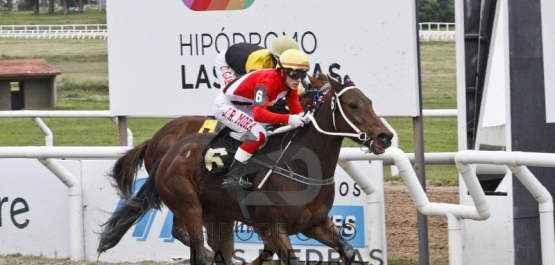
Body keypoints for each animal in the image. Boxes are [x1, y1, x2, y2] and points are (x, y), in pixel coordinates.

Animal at [100, 73, 396, 262]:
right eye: (353, 105)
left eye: (370, 102)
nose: (385, 136)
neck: (301, 167)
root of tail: (166, 149)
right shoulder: (271, 227)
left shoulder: (314, 224)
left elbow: (348, 251)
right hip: (187, 205)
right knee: (194, 243)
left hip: (217, 216)